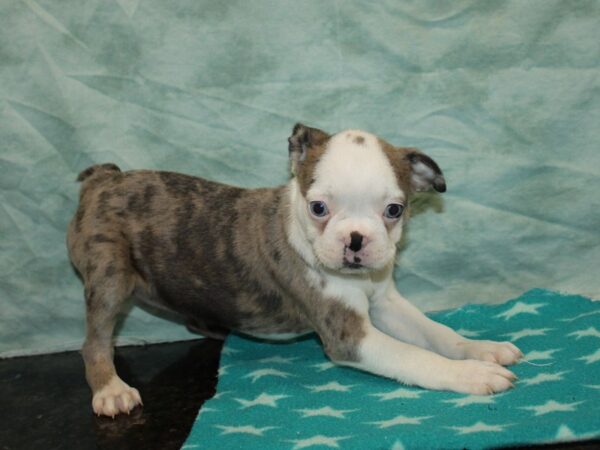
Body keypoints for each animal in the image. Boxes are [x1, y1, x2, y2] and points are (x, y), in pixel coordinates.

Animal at [68, 124, 524, 418]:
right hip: (110, 274)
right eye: (318, 207)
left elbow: (435, 333)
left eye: (394, 210)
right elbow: (414, 356)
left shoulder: (386, 303)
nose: (355, 240)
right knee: (95, 341)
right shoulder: (350, 336)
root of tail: (103, 178)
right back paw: (110, 390)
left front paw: (481, 349)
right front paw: (472, 374)